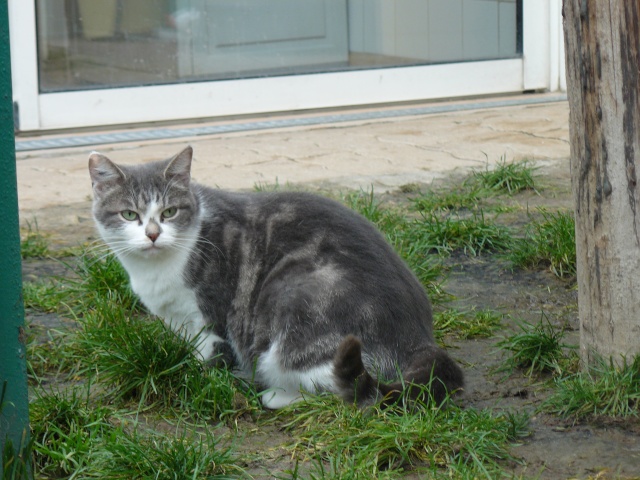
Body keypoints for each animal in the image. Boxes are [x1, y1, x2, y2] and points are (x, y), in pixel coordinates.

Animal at [87, 146, 462, 408]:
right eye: (129, 214)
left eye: (169, 212)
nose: (152, 234)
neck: (156, 269)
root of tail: (419, 339)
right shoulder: (179, 322)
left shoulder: (210, 318)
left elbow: (210, 358)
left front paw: (197, 378)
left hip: (292, 301)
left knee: (335, 387)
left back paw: (276, 394)